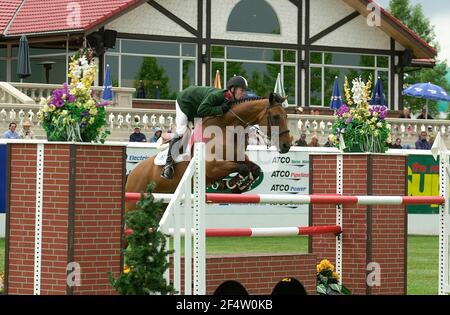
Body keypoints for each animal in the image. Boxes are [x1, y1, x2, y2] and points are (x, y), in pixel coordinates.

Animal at [125, 92, 292, 214]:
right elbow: (243, 169)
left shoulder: (239, 158)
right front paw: (232, 183)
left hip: (161, 205)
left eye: (286, 116)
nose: (286, 145)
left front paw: (237, 186)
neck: (227, 130)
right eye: (276, 117)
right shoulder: (211, 167)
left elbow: (255, 169)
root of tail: (132, 174)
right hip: (134, 204)